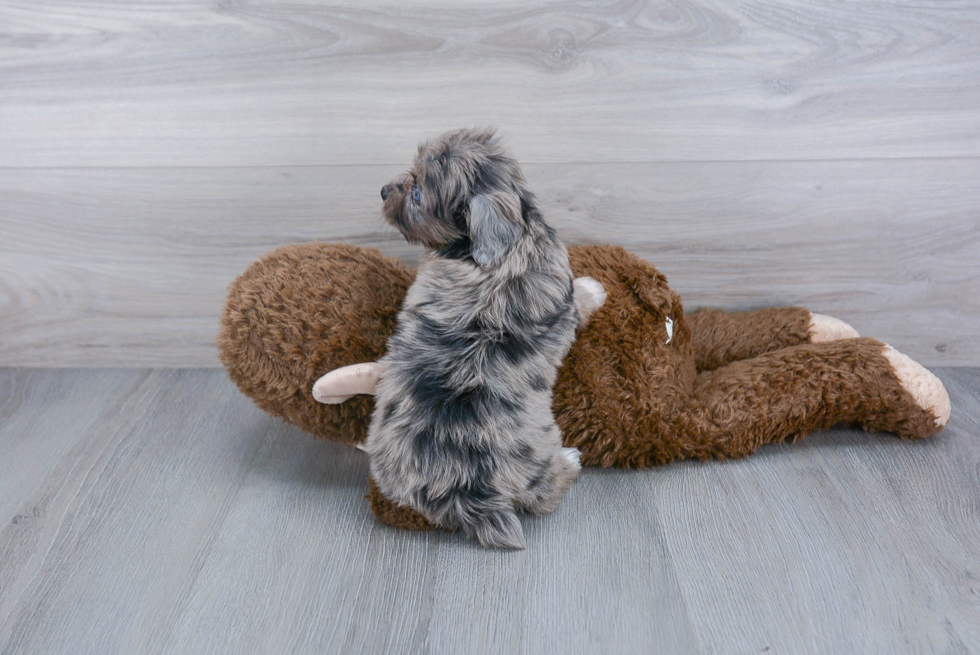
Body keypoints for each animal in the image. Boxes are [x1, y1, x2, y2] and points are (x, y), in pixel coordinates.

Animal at [364, 128, 600, 548]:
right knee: (543, 497)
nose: (383, 190)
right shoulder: (563, 300)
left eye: (417, 193)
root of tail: (462, 492)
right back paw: (569, 461)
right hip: (536, 455)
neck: (487, 253)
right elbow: (579, 301)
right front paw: (594, 289)